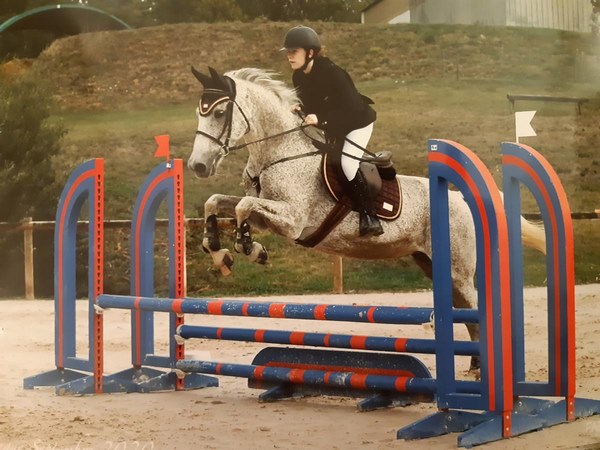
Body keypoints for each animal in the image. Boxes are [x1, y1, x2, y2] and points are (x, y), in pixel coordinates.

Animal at [188, 65, 548, 370]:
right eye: (198, 113)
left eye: (219, 113)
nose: (197, 166)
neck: (279, 152)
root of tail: (460, 197)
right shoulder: (268, 216)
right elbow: (218, 202)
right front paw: (219, 252)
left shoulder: (293, 219)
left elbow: (242, 207)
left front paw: (249, 250)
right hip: (432, 264)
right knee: (465, 312)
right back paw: (475, 366)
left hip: (457, 269)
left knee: (474, 308)